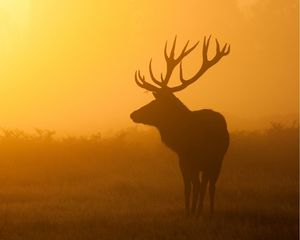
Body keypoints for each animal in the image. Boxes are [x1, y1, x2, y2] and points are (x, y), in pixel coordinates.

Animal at [130, 36, 231, 218]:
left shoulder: (190, 159)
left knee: (207, 186)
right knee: (207, 185)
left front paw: (192, 212)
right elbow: (189, 187)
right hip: (211, 161)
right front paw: (190, 211)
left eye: (155, 103)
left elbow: (193, 187)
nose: (133, 114)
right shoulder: (186, 160)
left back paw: (204, 211)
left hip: (214, 160)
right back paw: (207, 211)